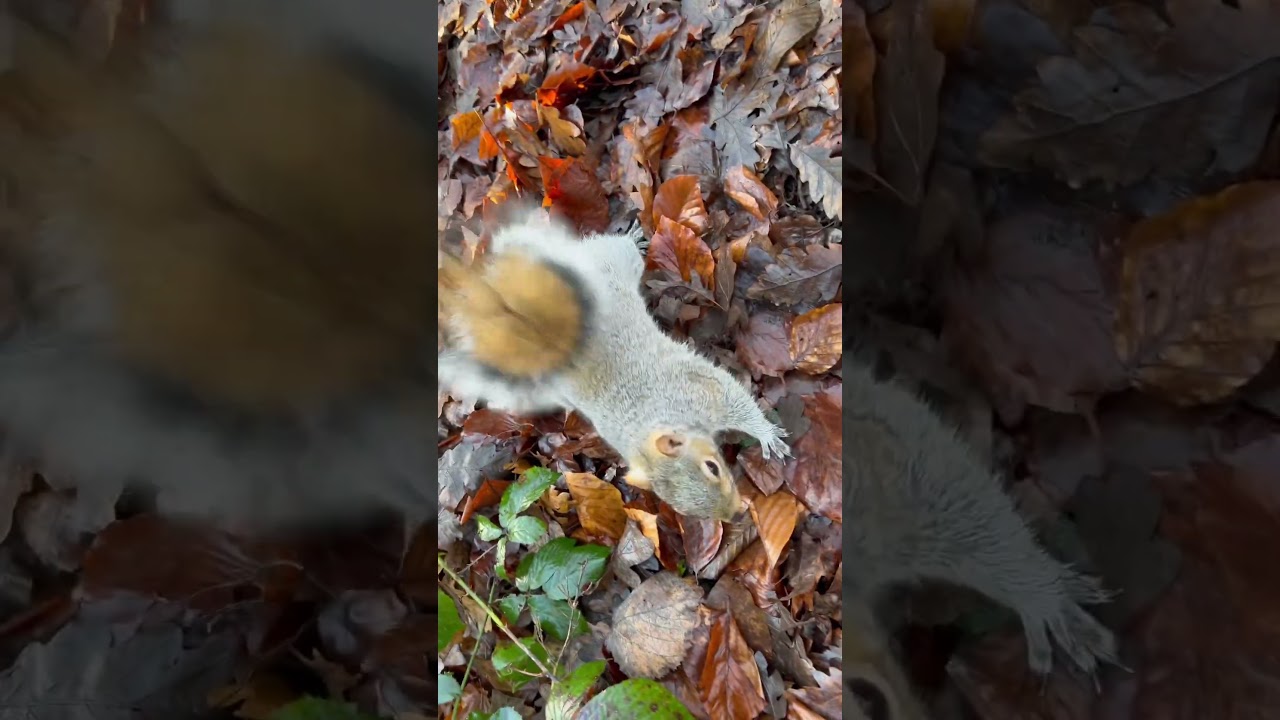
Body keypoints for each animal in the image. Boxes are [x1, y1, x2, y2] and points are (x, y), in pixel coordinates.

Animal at [438, 210, 792, 522]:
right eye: (683, 509)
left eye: (713, 467)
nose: (735, 514)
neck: (653, 420)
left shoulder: (699, 388)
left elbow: (737, 401)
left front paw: (767, 434)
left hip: (609, 263)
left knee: (614, 248)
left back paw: (631, 238)